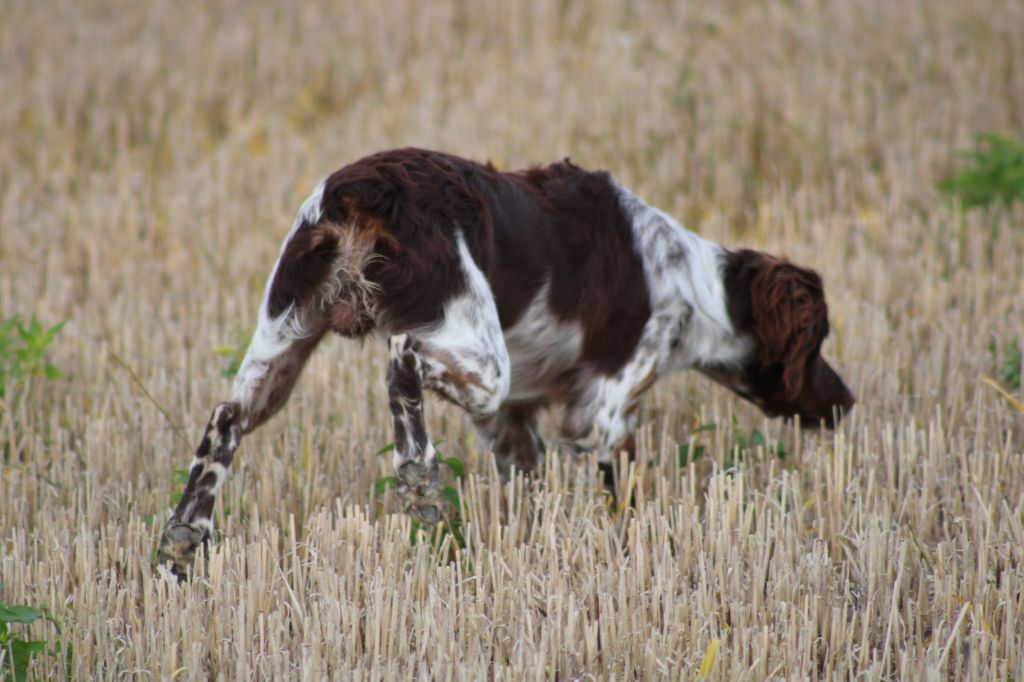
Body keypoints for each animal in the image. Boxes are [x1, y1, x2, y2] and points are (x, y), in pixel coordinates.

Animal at [155, 147, 851, 573]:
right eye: (818, 344)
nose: (845, 403)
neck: (692, 285)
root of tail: (358, 191)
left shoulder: (512, 424)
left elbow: (529, 494)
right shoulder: (601, 416)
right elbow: (623, 500)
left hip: (283, 345)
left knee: (225, 418)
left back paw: (186, 536)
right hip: (478, 356)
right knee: (401, 359)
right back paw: (419, 477)